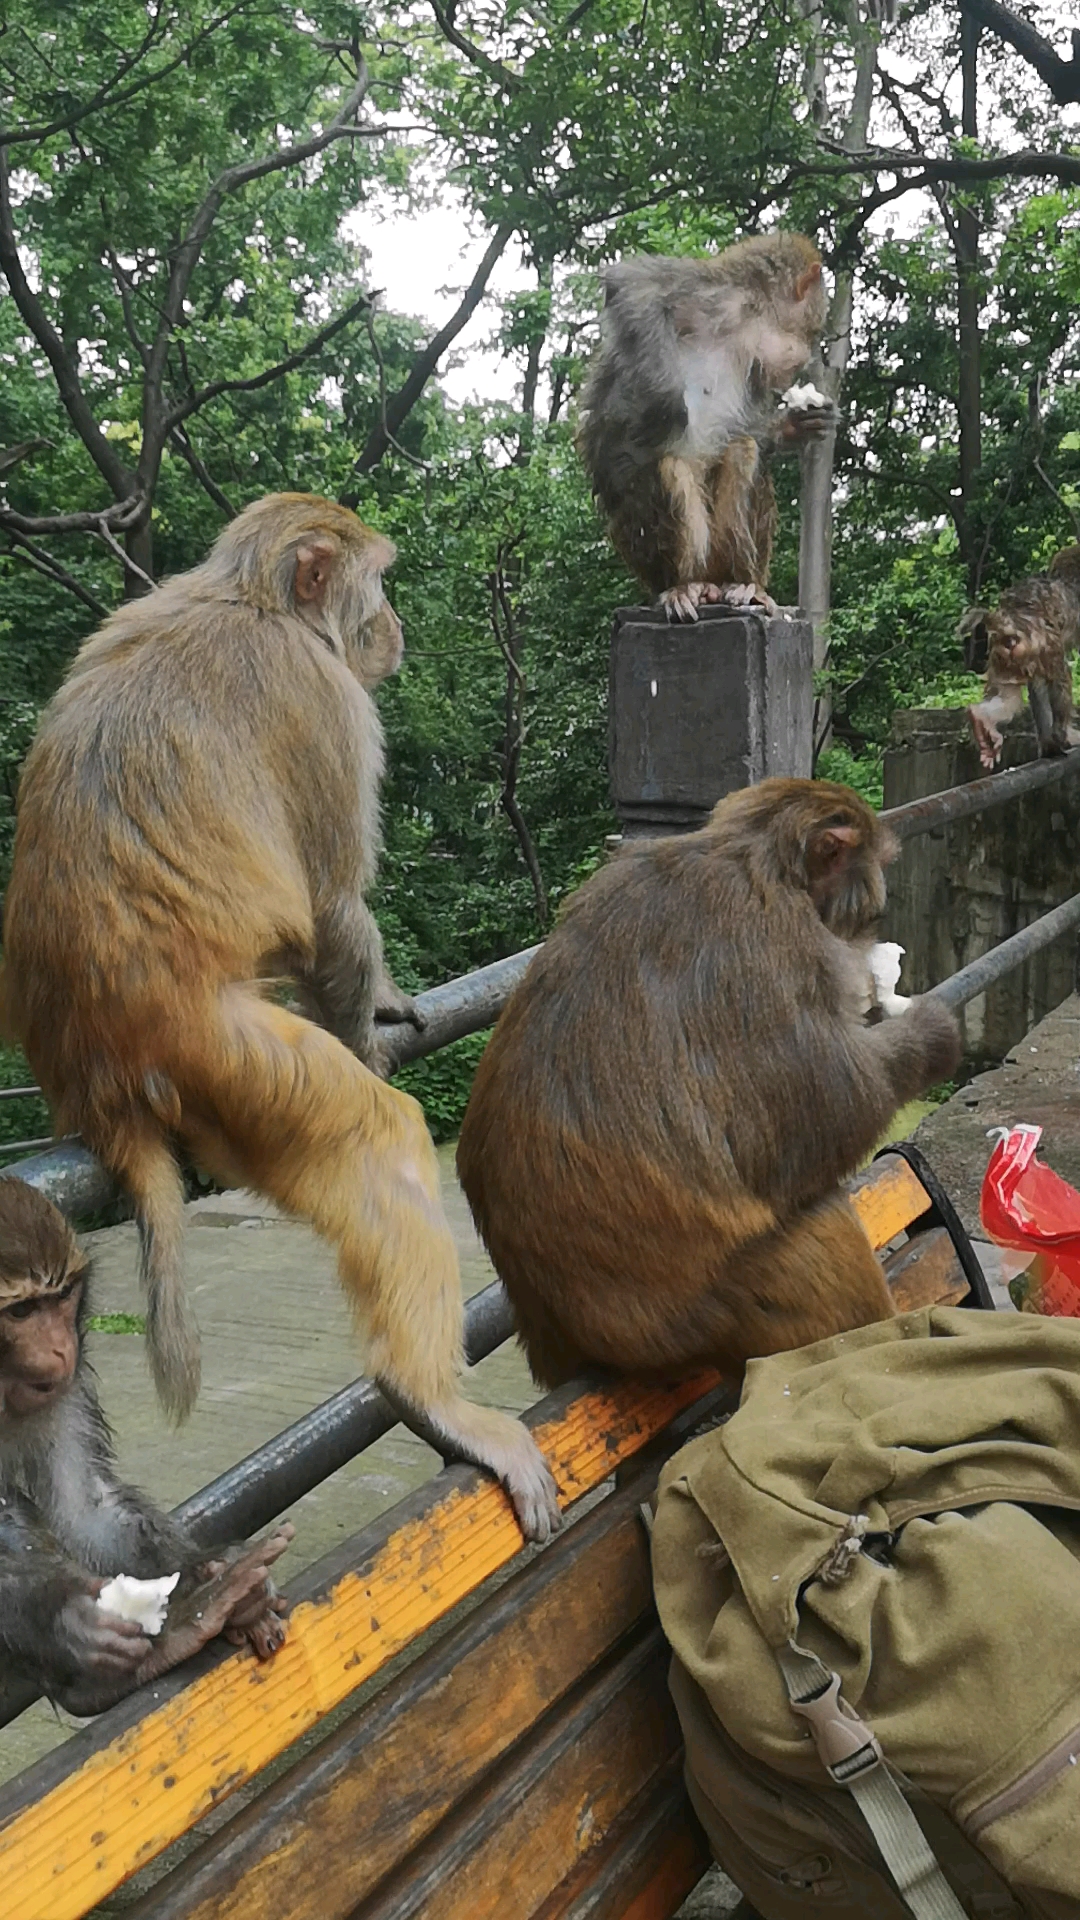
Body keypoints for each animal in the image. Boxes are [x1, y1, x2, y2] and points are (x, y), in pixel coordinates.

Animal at [0, 491, 553, 1543]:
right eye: (378, 586)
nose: (394, 627)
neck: (248, 600)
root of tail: (95, 1067)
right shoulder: (325, 697)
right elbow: (332, 908)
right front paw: (371, 1023)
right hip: (232, 1059)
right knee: (378, 1138)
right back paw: (426, 1393)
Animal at [0, 1175, 294, 1720]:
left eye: (62, 1296)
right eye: (21, 1310)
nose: (60, 1350)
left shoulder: (65, 1387)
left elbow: (85, 1508)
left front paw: (207, 1568)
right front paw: (64, 1620)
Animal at [453, 779, 957, 1397]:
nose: (872, 923)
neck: (753, 857)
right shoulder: (775, 944)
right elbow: (823, 1116)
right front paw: (931, 1031)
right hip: (712, 1314)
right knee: (824, 1220)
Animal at [576, 229, 826, 622]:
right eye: (812, 329)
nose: (808, 353)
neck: (748, 322)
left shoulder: (757, 367)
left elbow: (748, 428)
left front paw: (792, 426)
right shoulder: (710, 290)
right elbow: (631, 285)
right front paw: (665, 400)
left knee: (741, 448)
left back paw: (744, 583)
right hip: (643, 553)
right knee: (670, 466)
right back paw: (683, 585)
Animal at [957, 541, 1076, 764]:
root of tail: (1007, 621)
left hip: (1002, 657)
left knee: (1009, 694)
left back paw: (981, 718)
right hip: (1042, 647)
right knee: (1060, 676)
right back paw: (1058, 735)